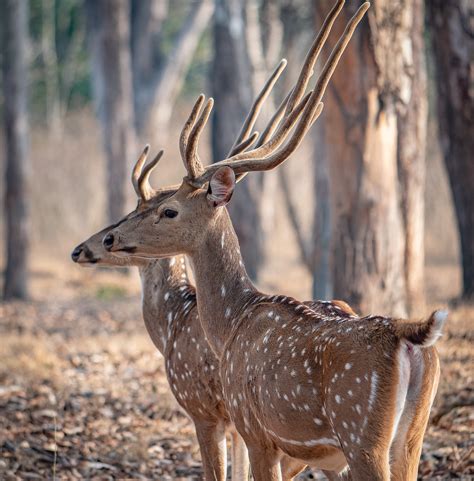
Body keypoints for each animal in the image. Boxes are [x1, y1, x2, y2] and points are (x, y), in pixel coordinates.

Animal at [103, 1, 444, 478]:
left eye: (168, 210)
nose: (110, 239)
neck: (230, 325)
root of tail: (409, 334)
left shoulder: (254, 427)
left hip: (361, 433)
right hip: (411, 435)